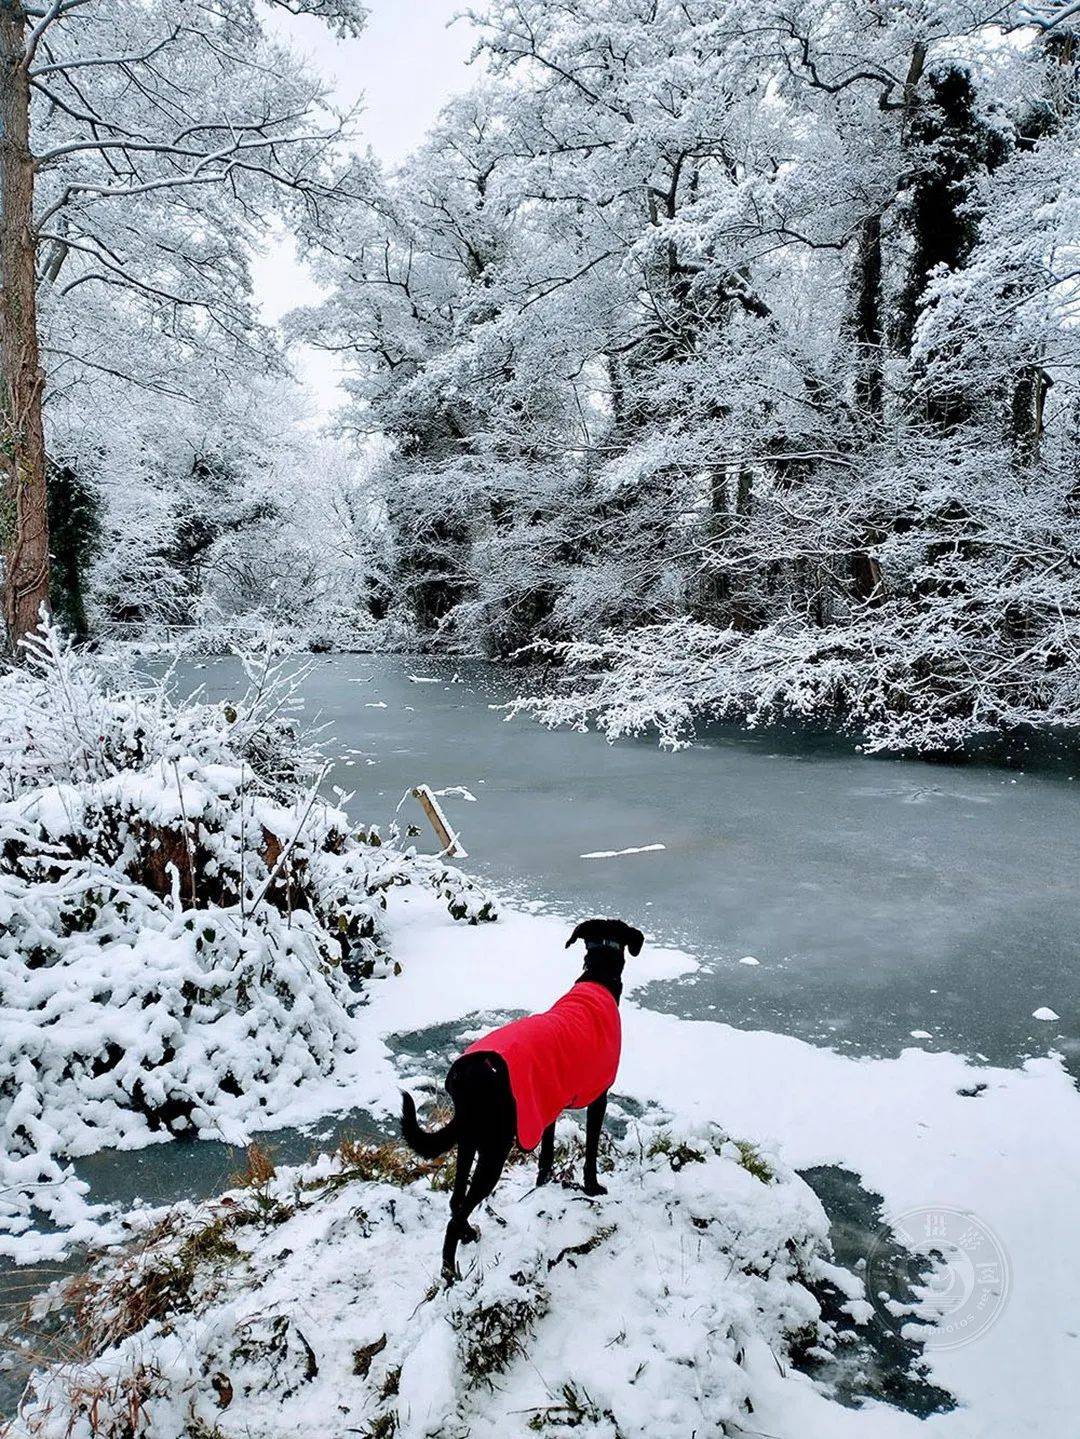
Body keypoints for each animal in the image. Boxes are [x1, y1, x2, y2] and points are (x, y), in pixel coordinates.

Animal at [402, 915, 641, 1277]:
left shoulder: (547, 1107)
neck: (596, 979)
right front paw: (593, 1188)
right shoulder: (599, 1097)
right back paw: (450, 1272)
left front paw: (544, 1188)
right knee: (457, 1214)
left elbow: (546, 1157)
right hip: (494, 1148)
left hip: (470, 1138)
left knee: (456, 1202)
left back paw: (469, 1236)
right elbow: (590, 1150)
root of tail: (462, 1072)